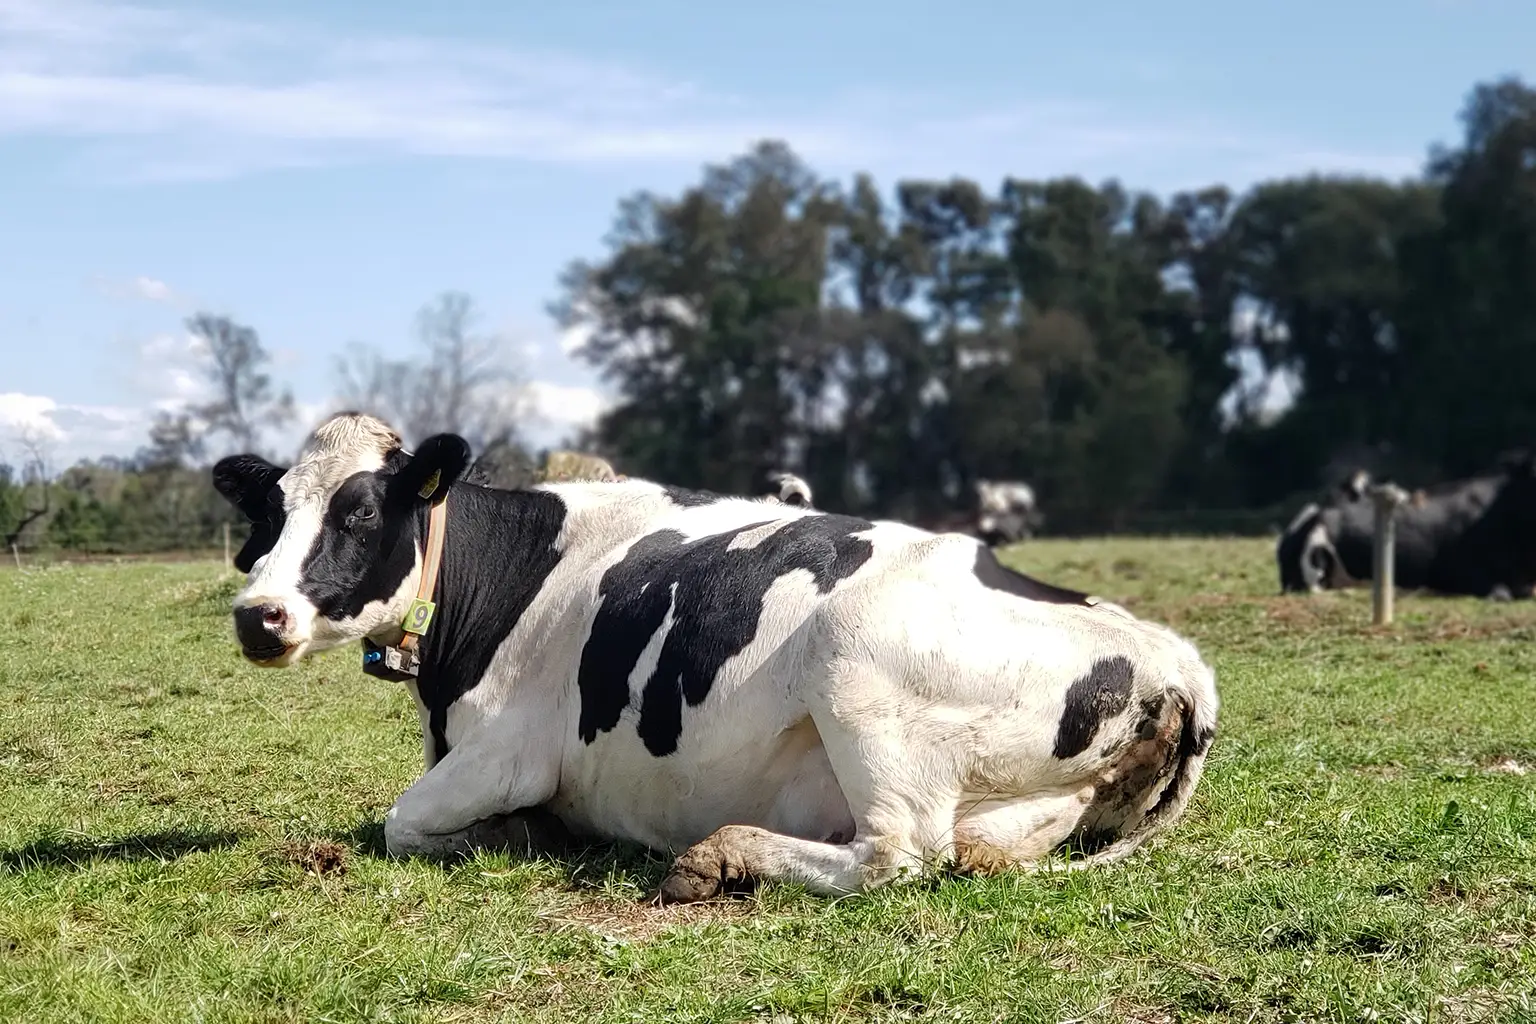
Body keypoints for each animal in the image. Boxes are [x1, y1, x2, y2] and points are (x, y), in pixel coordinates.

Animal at [212, 412, 1218, 903]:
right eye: (268, 513)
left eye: (358, 513)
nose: (259, 615)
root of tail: (1171, 656)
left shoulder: (505, 752)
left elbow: (403, 823)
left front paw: (518, 834)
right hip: (1018, 814)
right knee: (962, 853)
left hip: (859, 673)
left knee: (895, 856)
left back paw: (719, 858)